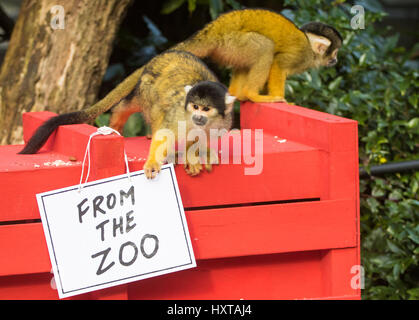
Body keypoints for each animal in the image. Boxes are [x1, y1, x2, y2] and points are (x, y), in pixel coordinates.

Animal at [18, 51, 236, 179]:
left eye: (206, 109)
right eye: (195, 106)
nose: (197, 117)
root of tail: (161, 55)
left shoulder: (223, 122)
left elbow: (204, 137)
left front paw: (197, 152)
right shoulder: (179, 113)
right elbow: (165, 132)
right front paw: (155, 161)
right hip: (147, 88)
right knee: (149, 108)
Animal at [176, 8, 342, 102]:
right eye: (335, 53)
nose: (335, 59)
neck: (310, 47)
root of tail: (214, 29)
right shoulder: (302, 55)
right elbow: (278, 63)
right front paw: (279, 97)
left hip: (232, 49)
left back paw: (237, 94)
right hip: (231, 42)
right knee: (266, 48)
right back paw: (251, 94)